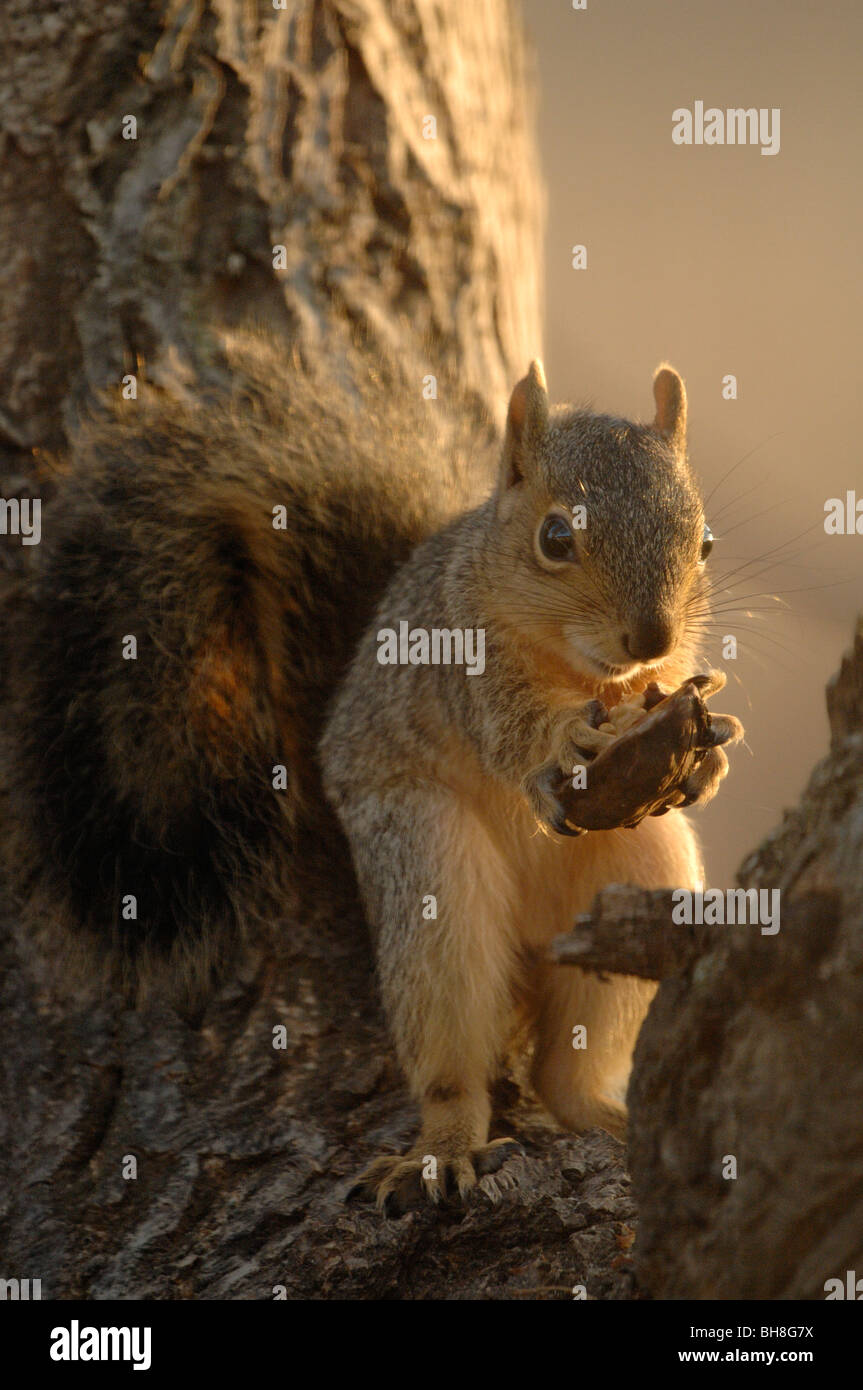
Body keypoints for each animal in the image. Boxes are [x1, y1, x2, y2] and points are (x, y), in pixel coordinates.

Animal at [0, 331, 741, 1213]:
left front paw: (713, 747)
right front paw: (562, 741)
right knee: (452, 1053)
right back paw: (446, 1148)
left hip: (637, 869)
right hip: (423, 862)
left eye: (704, 541)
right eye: (556, 538)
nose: (650, 635)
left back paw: (607, 1116)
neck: (586, 673)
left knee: (568, 1069)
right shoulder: (458, 665)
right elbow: (509, 734)